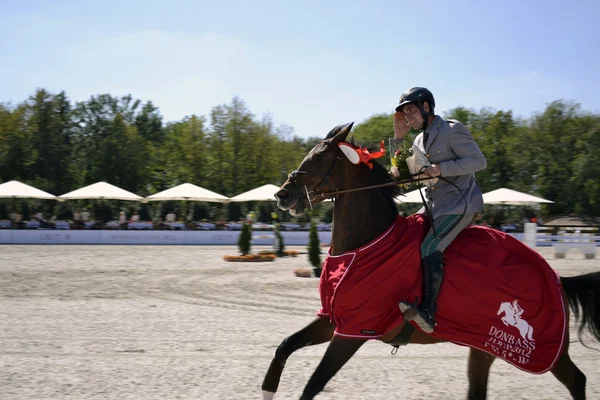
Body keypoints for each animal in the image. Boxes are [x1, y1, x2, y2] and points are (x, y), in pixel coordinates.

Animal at [266, 122, 600, 400]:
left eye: (319, 158)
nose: (283, 195)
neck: (364, 247)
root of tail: (555, 277)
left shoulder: (355, 332)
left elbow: (312, 385)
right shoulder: (333, 320)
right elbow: (284, 347)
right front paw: (268, 387)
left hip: (543, 351)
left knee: (577, 380)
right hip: (483, 347)